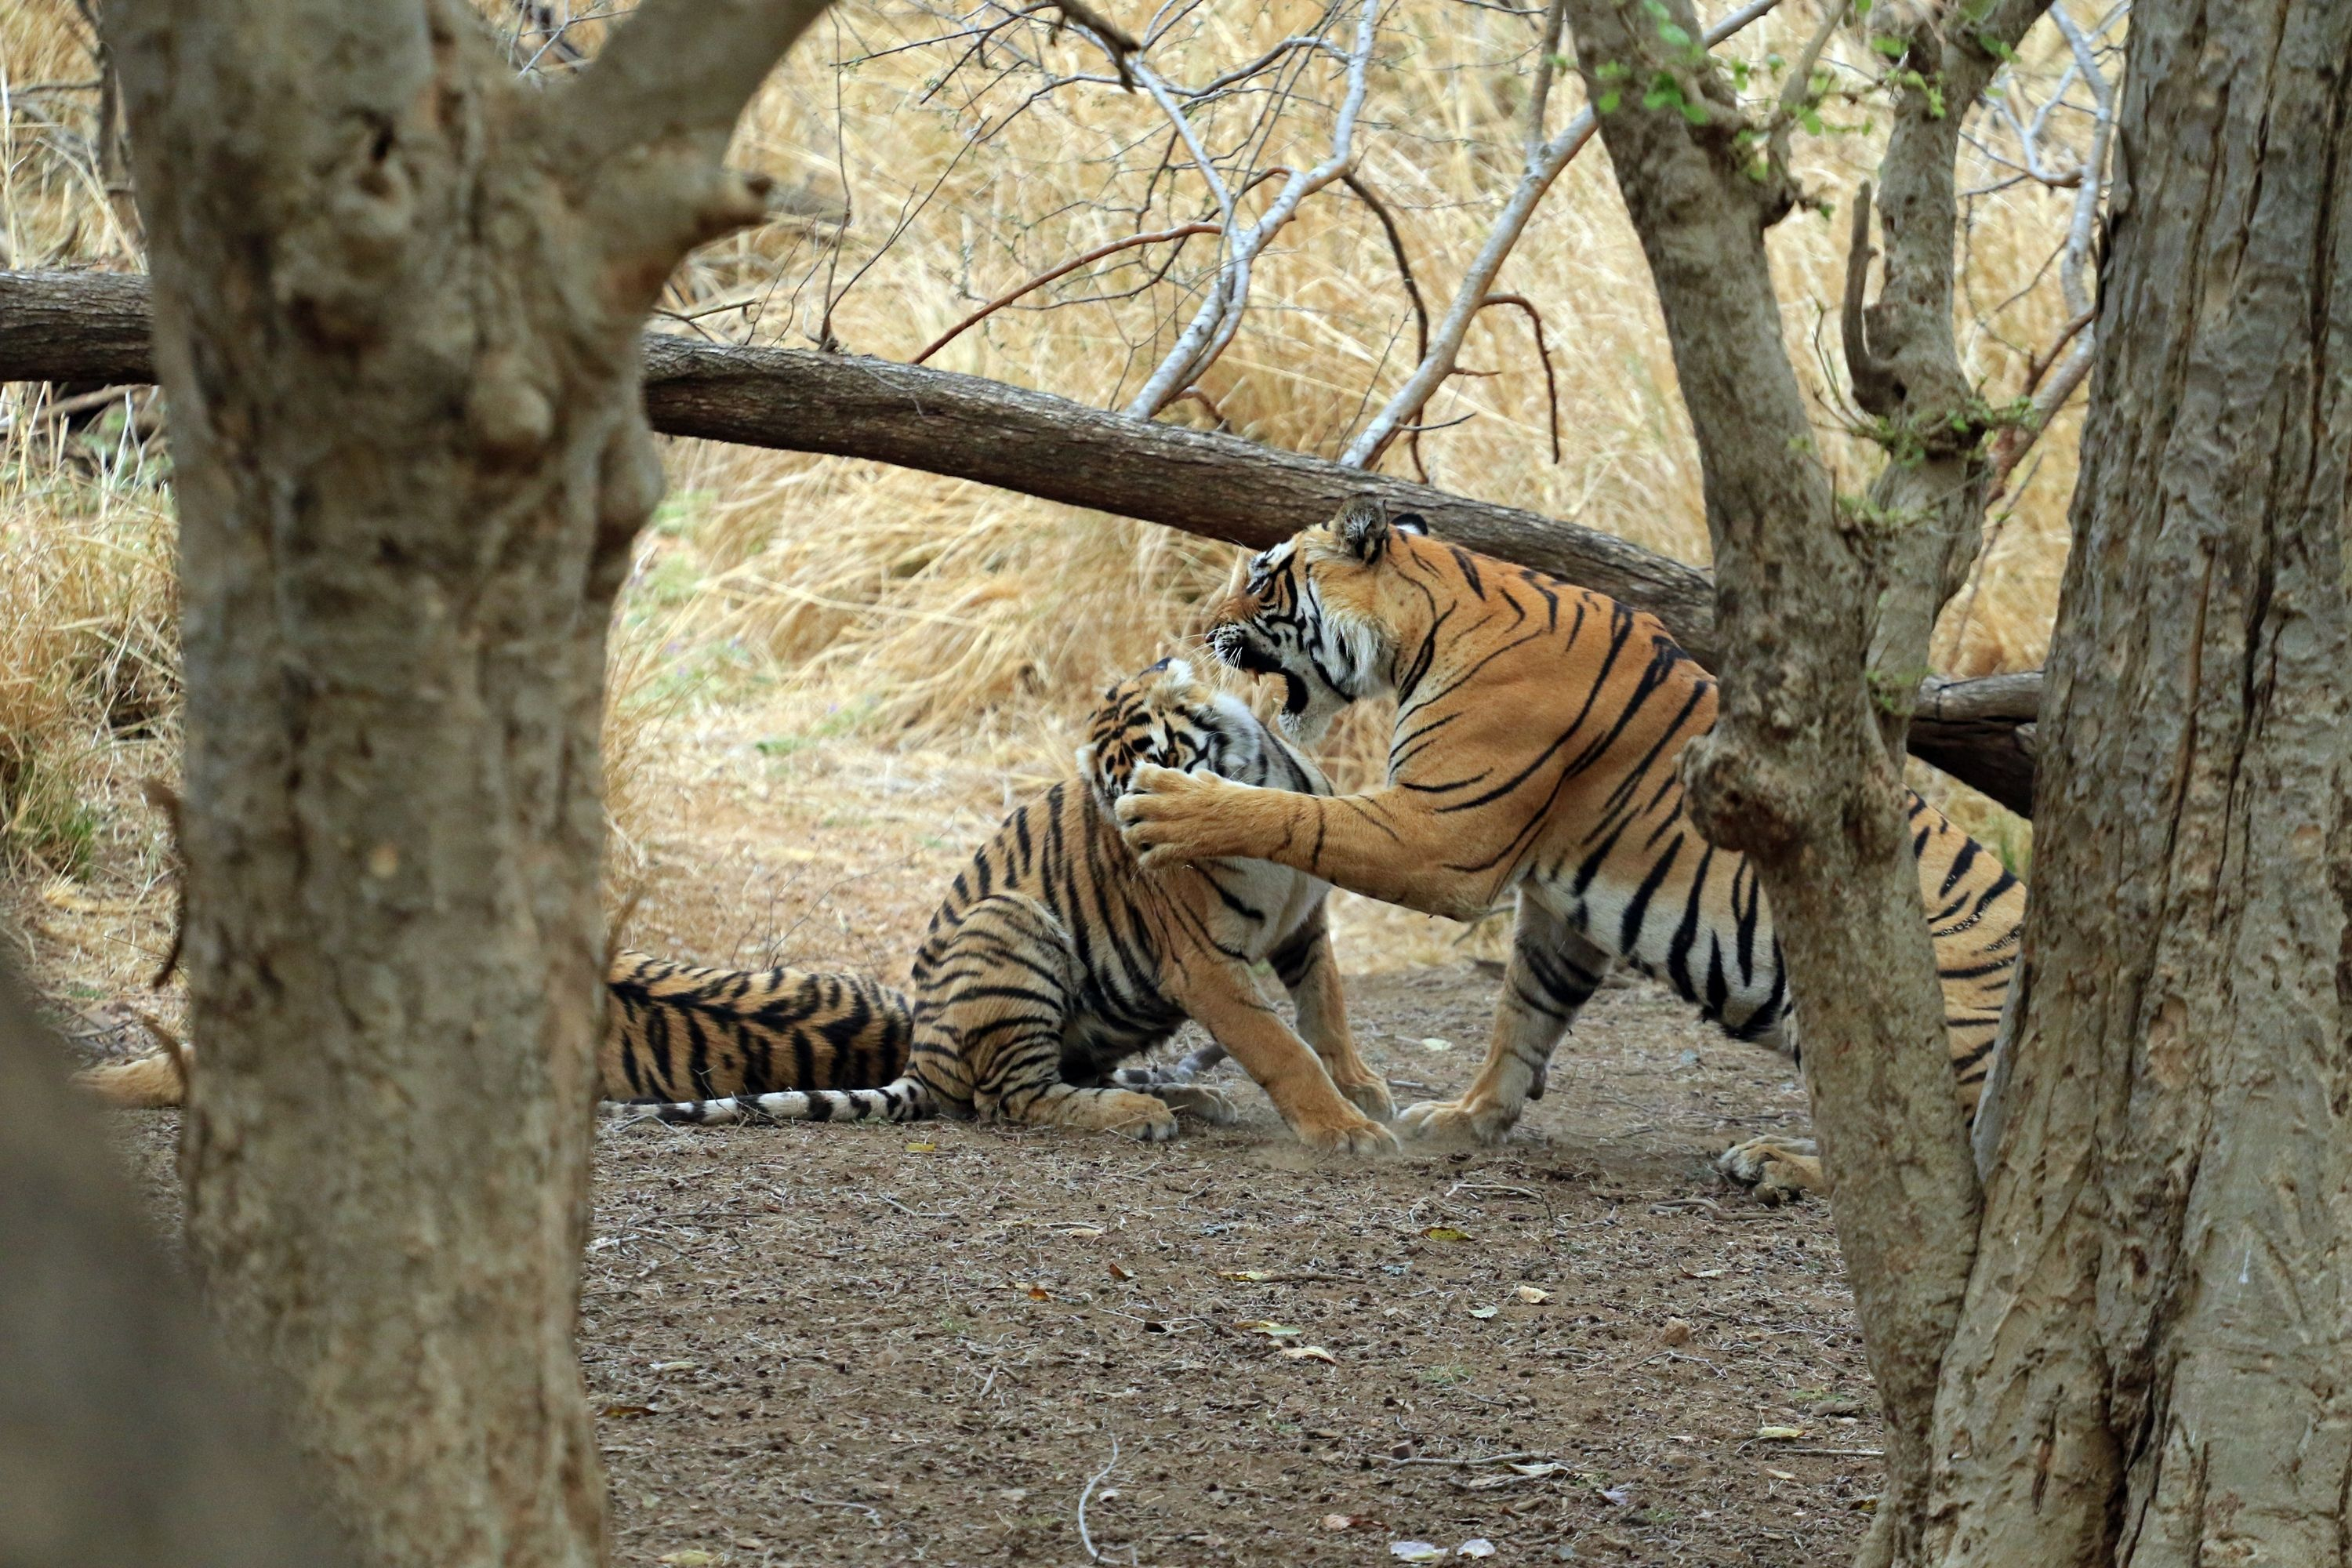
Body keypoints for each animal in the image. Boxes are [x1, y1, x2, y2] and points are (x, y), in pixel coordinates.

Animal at [81, 659, 1399, 1154]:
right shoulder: (1209, 962)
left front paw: (1364, 1104)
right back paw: (1142, 1109)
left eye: (1146, 758)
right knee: (1012, 1098)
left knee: (1028, 1093)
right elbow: (1279, 1041)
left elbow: (1321, 1020)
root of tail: (917, 1041)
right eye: (1110, 775)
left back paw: (1157, 1100)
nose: (1126, 817)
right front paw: (1343, 1125)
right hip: (1010, 930)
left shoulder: (1304, 928)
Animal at [1111, 499, 2026, 1200]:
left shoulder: (1440, 834)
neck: (1426, 624)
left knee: (1922, 1155)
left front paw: (1173, 803)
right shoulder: (1565, 907)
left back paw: (1776, 1164)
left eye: (1260, 577)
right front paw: (1466, 1119)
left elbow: (1297, 814)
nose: (1199, 628)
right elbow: (1523, 1015)